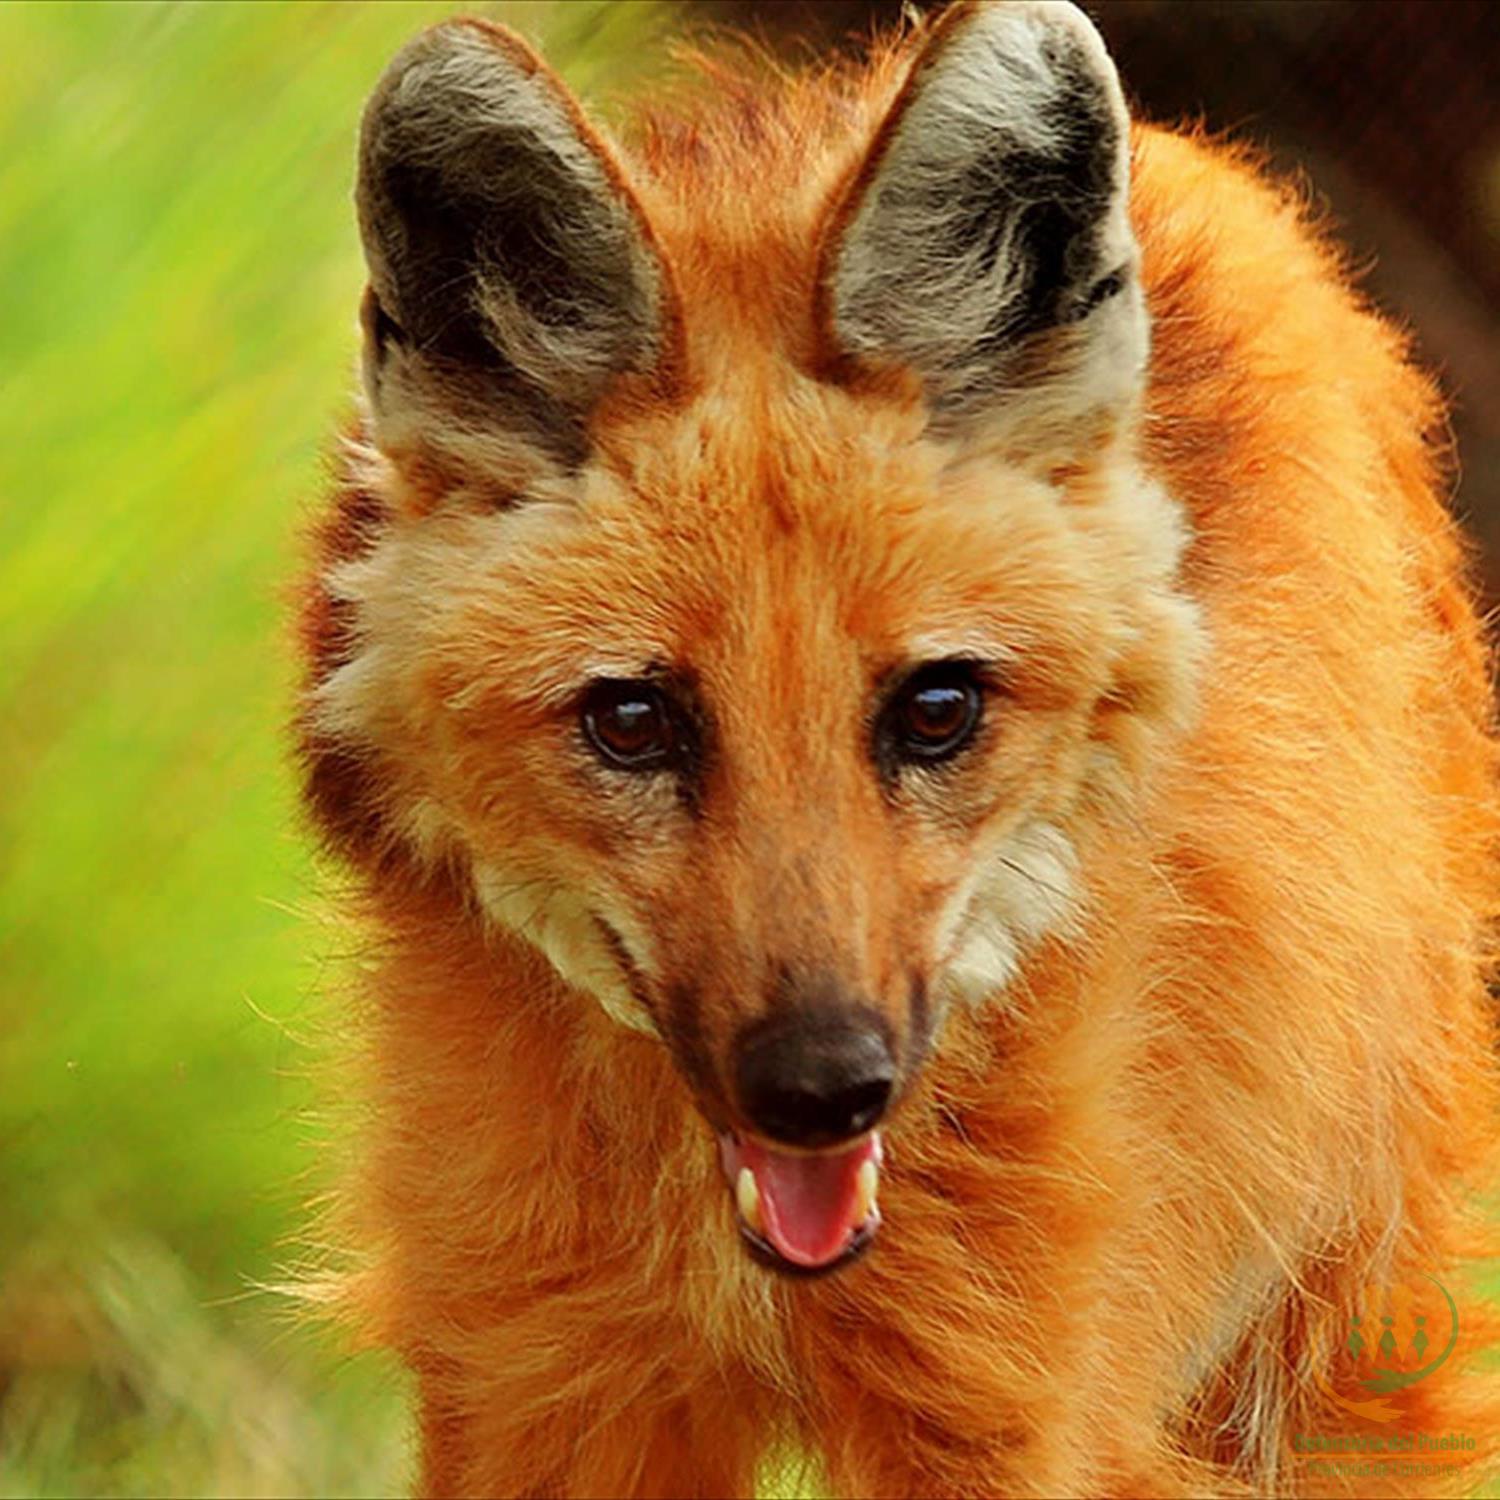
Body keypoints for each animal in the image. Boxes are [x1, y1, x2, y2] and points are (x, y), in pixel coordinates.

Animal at [292, 5, 1500, 1494]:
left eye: (936, 710)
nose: (820, 1085)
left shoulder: (1024, 1409)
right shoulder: (547, 1382)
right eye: (632, 722)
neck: (741, 1261)